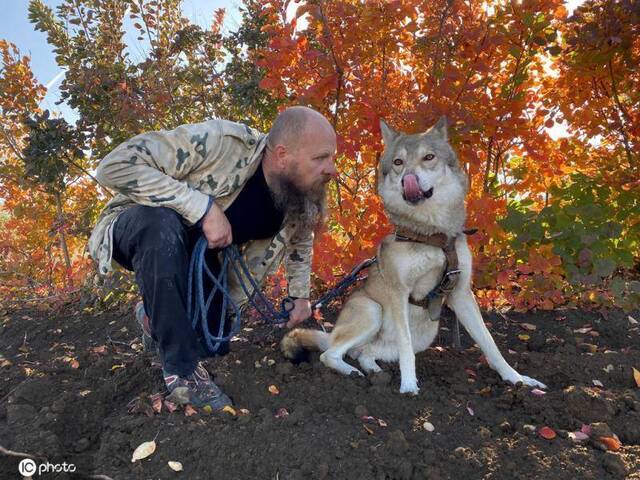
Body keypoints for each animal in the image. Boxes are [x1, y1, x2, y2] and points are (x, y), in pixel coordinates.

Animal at [282, 117, 548, 394]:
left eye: (428, 157)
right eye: (398, 162)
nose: (408, 179)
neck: (433, 236)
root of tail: (333, 334)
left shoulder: (462, 293)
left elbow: (490, 344)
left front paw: (516, 378)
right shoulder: (400, 292)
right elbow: (406, 346)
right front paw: (409, 385)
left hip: (423, 335)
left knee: (364, 353)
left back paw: (373, 370)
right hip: (372, 310)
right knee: (331, 354)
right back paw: (352, 371)